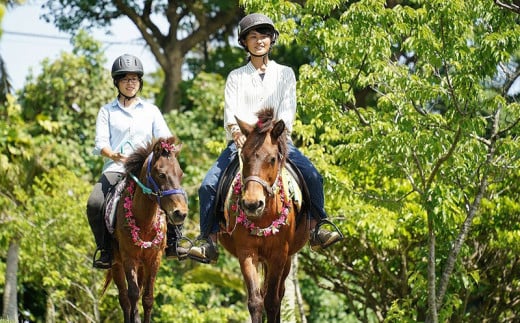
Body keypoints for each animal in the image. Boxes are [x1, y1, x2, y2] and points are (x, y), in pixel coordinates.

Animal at [101, 137, 187, 323]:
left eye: (180, 174)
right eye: (161, 174)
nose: (180, 213)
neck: (145, 222)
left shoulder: (154, 259)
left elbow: (147, 298)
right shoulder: (128, 258)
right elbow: (132, 295)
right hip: (116, 263)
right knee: (124, 298)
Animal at [218, 109, 308, 323]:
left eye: (272, 159)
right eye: (243, 156)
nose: (252, 204)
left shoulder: (279, 254)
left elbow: (272, 301)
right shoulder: (247, 252)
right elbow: (256, 301)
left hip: (286, 258)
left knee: (278, 294)